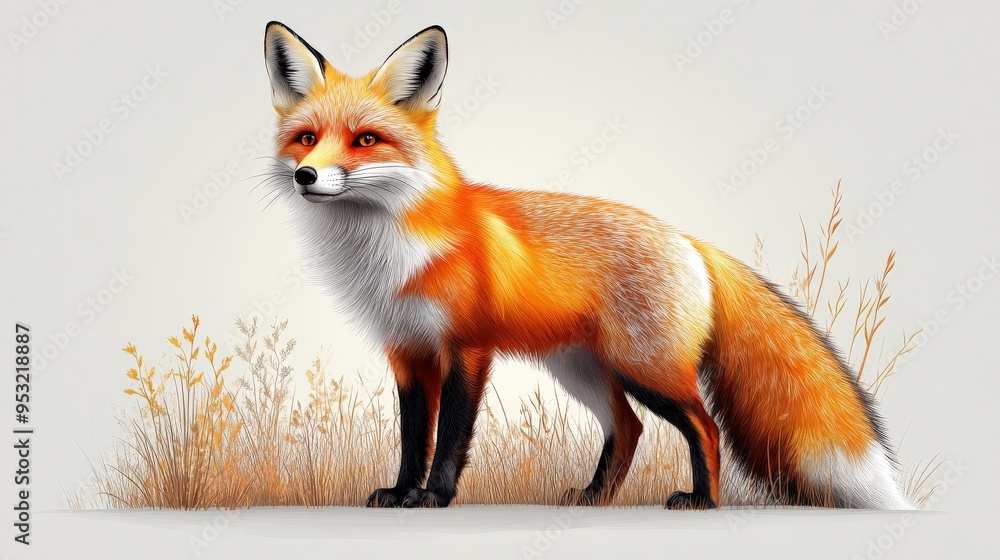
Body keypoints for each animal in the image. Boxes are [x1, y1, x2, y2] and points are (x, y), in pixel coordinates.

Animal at [260, 21, 912, 510]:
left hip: (644, 368)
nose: (306, 176)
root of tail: (690, 240)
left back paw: (702, 501)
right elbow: (412, 437)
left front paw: (435, 498)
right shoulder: (407, 350)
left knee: (704, 426)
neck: (390, 252)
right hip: (584, 370)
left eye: (366, 140)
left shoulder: (466, 347)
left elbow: (449, 439)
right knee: (629, 429)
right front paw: (400, 493)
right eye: (306, 138)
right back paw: (596, 497)